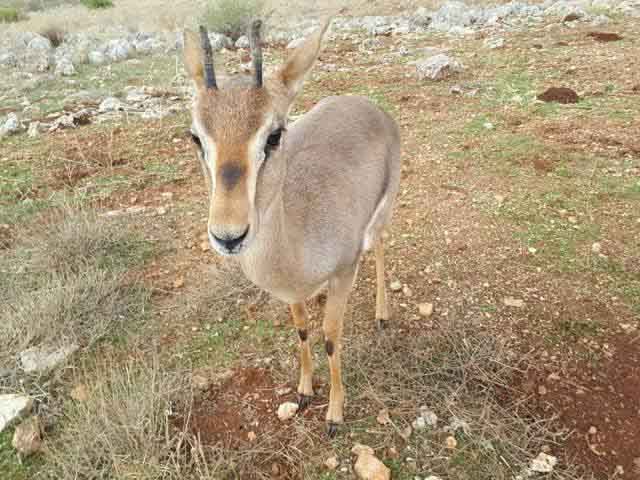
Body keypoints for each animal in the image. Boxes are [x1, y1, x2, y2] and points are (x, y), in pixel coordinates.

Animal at [183, 17, 401, 436]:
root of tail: (366, 104)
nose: (228, 235)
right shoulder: (292, 292)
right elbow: (302, 329)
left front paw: (335, 413)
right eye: (196, 136)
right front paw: (303, 390)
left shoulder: (344, 269)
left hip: (382, 212)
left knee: (380, 244)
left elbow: (331, 336)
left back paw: (383, 315)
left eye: (274, 134)